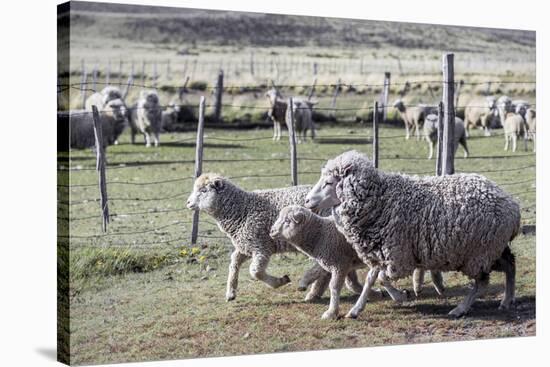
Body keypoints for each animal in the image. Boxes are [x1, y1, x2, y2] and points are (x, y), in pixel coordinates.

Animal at [188, 174, 364, 304]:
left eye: (203, 190)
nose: (188, 202)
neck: (241, 210)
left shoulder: (261, 247)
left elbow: (255, 272)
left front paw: (280, 281)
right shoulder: (246, 246)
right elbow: (234, 263)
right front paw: (231, 293)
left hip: (325, 237)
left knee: (326, 267)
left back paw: (314, 291)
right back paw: (353, 287)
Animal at [306, 151, 520, 318]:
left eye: (328, 182)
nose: (307, 201)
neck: (380, 201)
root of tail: (512, 206)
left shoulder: (399, 257)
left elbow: (382, 278)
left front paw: (401, 295)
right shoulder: (380, 253)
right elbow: (370, 279)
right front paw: (356, 309)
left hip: (479, 254)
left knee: (482, 284)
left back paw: (460, 309)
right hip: (492, 250)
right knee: (510, 265)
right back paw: (506, 301)